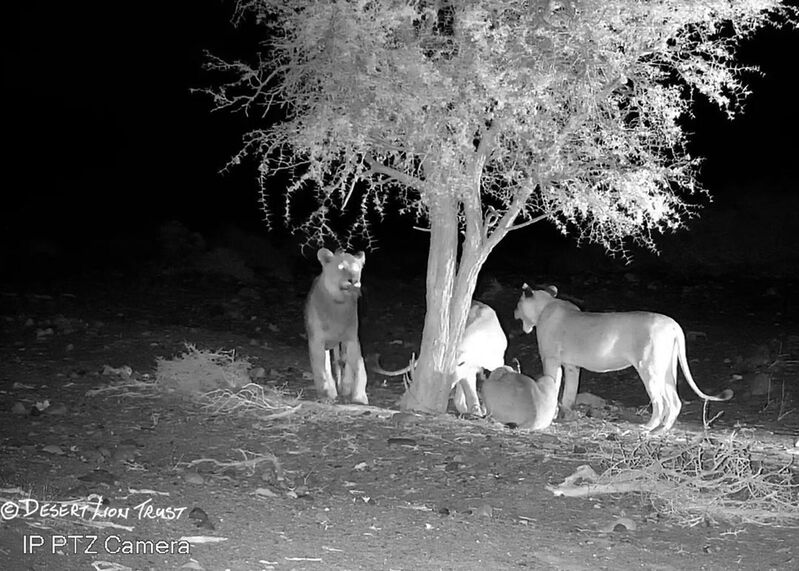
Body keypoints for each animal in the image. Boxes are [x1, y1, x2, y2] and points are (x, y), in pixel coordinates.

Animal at [304, 248, 370, 404]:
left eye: (356, 268)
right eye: (341, 267)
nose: (354, 281)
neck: (339, 303)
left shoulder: (352, 338)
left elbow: (360, 366)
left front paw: (359, 396)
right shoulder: (317, 340)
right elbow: (320, 368)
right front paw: (326, 393)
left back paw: (345, 387)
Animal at [516, 284, 736, 432]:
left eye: (518, 303)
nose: (514, 311)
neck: (545, 307)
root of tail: (674, 324)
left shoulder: (550, 359)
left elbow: (553, 387)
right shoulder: (572, 365)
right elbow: (569, 392)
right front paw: (564, 415)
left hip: (649, 368)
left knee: (660, 401)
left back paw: (649, 427)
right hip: (667, 369)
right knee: (674, 401)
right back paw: (662, 430)